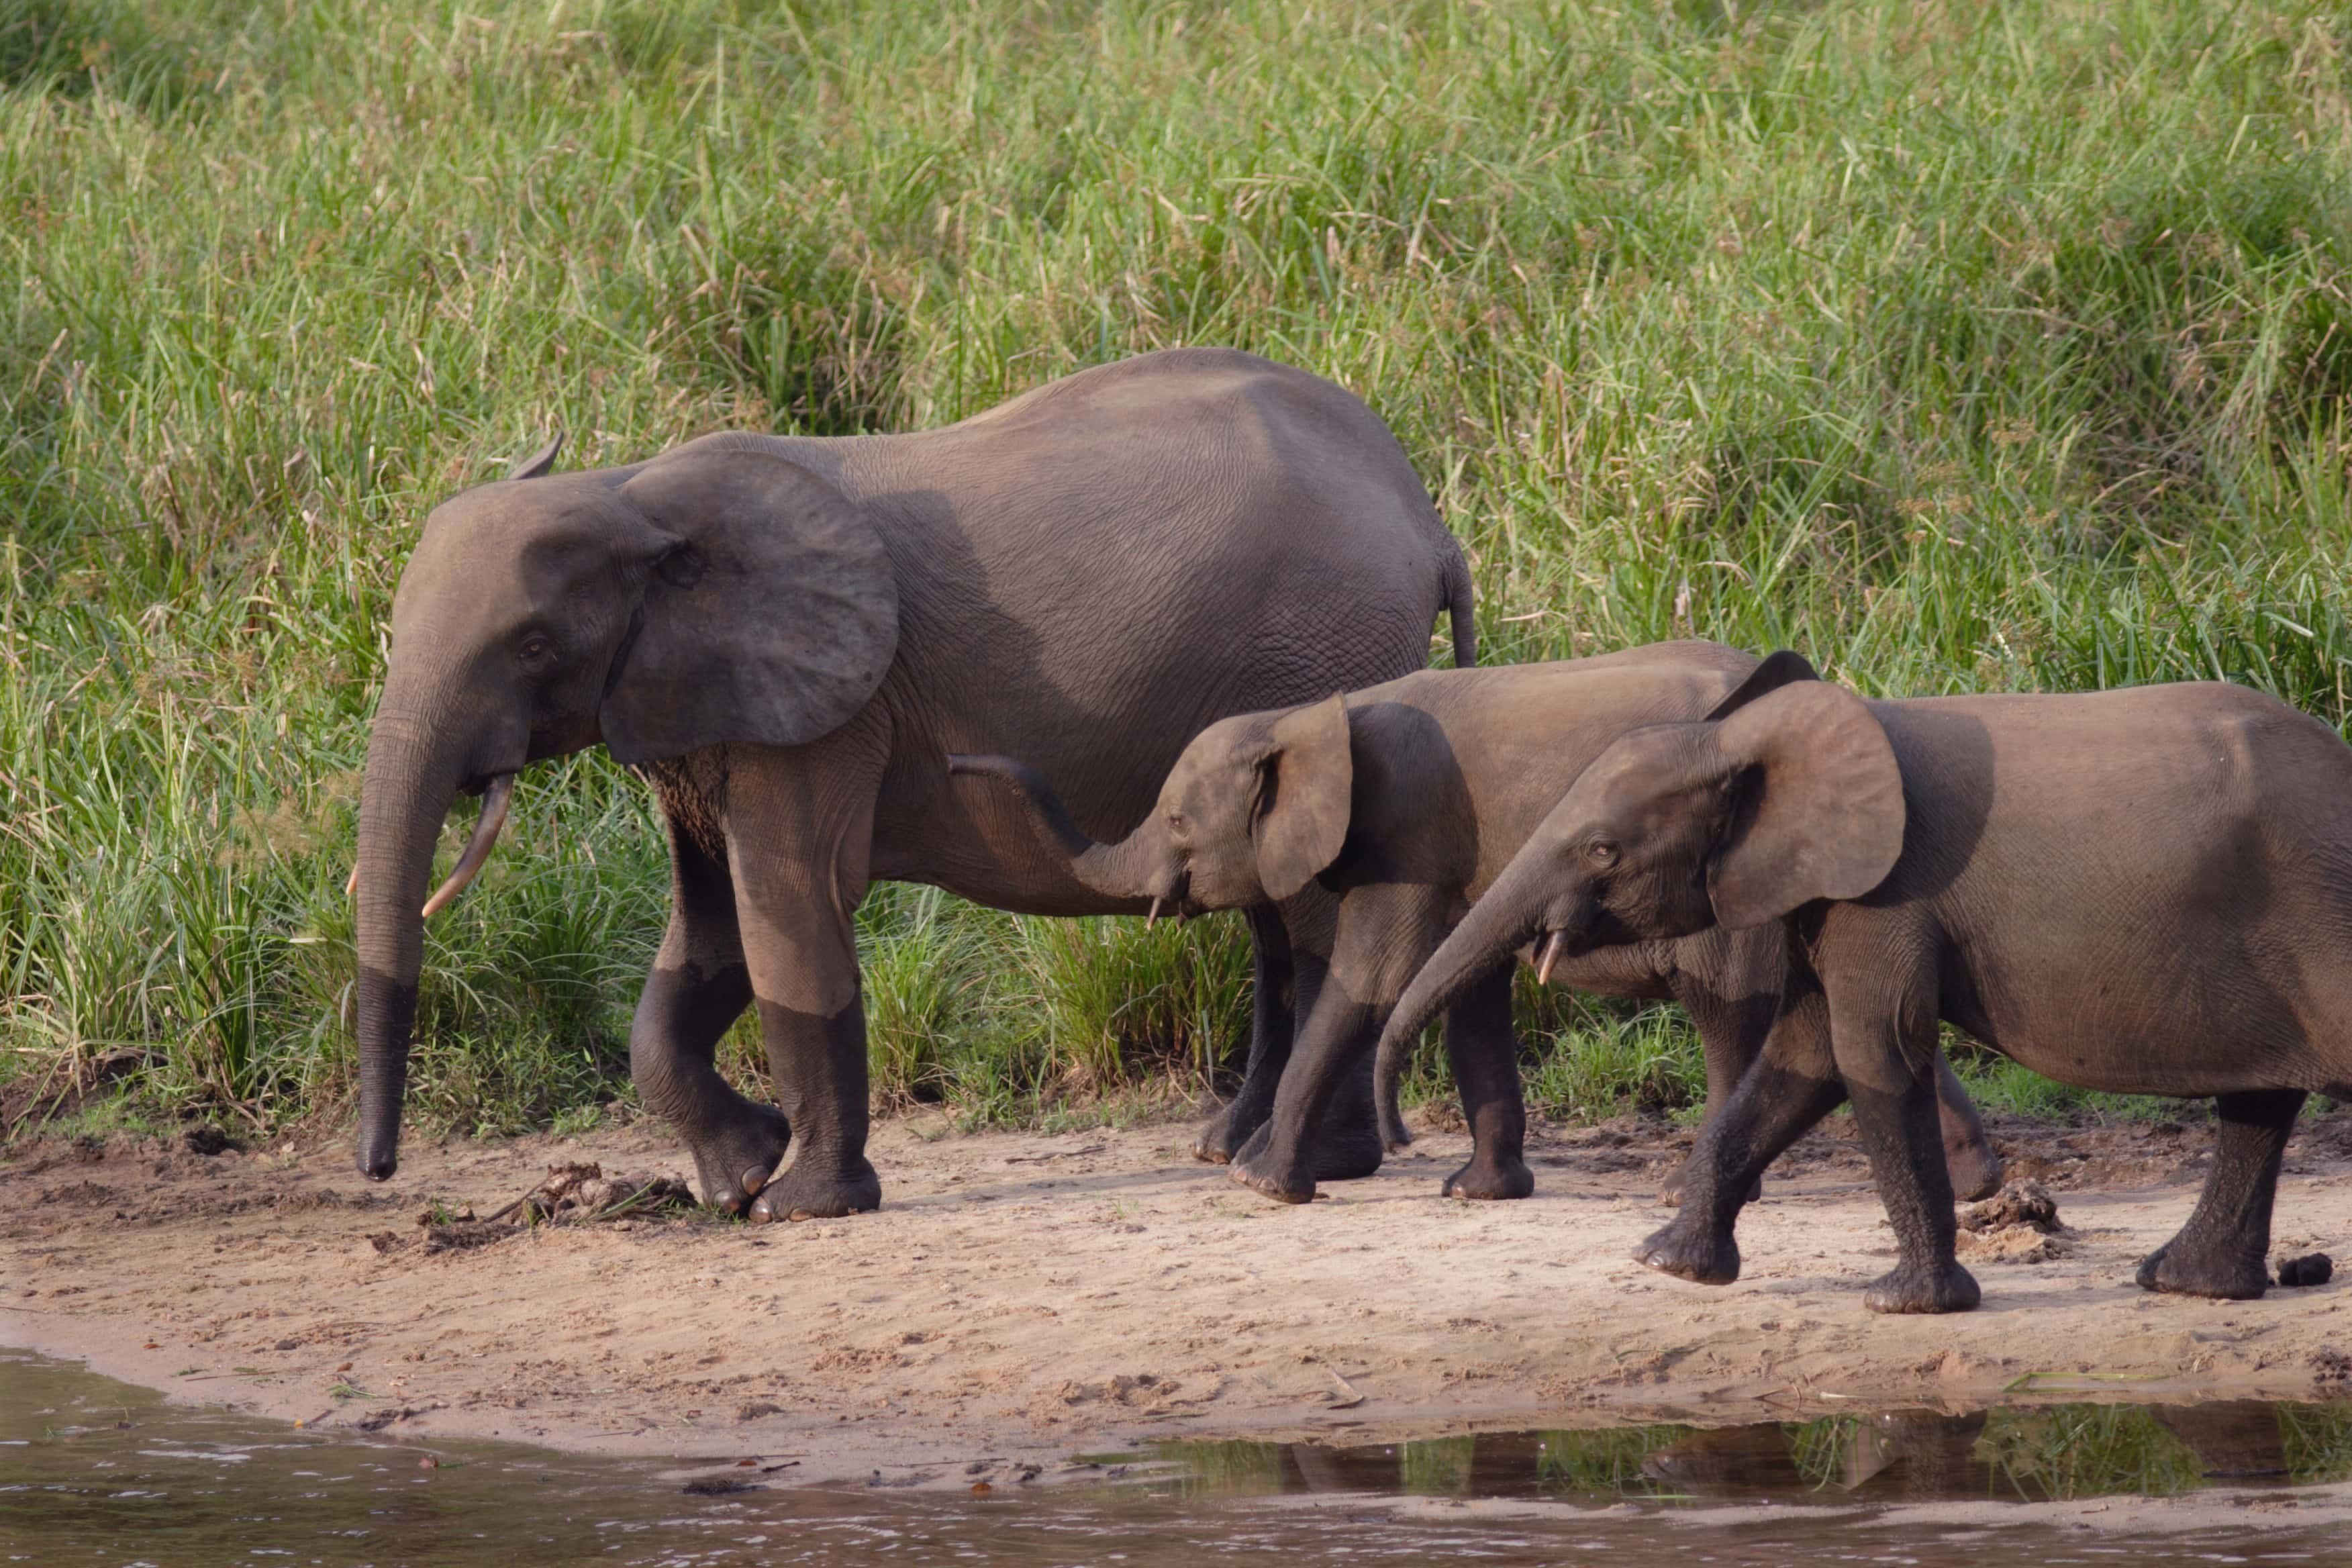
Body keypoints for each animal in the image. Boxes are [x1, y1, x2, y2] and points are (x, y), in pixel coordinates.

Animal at [348, 350, 1467, 1222]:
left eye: (533, 645)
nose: (378, 1171)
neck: (634, 493)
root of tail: (1429, 521)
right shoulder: (711, 709)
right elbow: (708, 937)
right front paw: (742, 1176)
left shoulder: (830, 711)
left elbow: (788, 910)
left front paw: (801, 1206)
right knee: (1272, 914)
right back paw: (1231, 1149)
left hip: (1324, 660)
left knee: (1316, 912)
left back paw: (1311, 1166)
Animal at [954, 644, 2004, 1213]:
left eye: (1176, 822)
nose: (959, 764)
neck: (1311, 718)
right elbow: (1468, 999)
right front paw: (1475, 1195)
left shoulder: (1411, 829)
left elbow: (1375, 981)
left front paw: (1260, 1186)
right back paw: (1981, 1185)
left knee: (1727, 1014)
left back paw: (1682, 1193)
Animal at [1373, 648, 2352, 1316]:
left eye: (1603, 850)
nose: (1398, 1138)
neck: (1748, 741)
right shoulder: (1830, 897)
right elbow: (1801, 1061)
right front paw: (1668, 1263)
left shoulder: (1888, 895)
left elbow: (1869, 1055)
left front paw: (1904, 1304)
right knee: (2259, 1101)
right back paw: (2185, 1285)